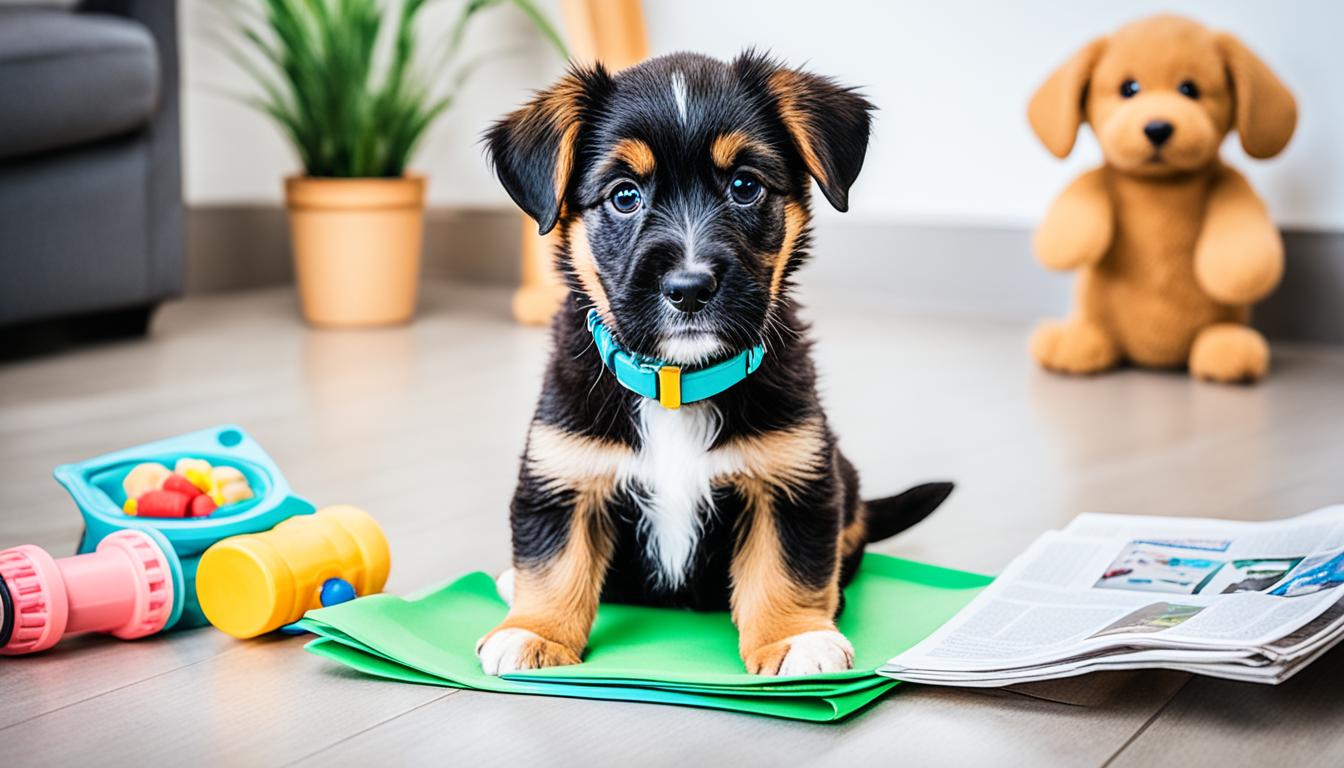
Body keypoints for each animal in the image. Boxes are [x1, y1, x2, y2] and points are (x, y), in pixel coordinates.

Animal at [478, 52, 951, 677]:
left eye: (745, 186)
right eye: (624, 195)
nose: (689, 288)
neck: (676, 384)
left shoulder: (794, 477)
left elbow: (787, 568)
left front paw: (795, 638)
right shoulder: (562, 470)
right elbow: (554, 562)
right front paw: (532, 632)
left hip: (840, 469)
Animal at [1026, 14, 1290, 381]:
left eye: (1189, 90)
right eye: (1129, 89)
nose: (1157, 128)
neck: (1159, 185)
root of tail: (1151, 359)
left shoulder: (1230, 183)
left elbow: (1244, 246)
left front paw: (1237, 268)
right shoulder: (1099, 179)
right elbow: (1078, 200)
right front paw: (1064, 243)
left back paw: (1228, 350)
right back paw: (1074, 341)